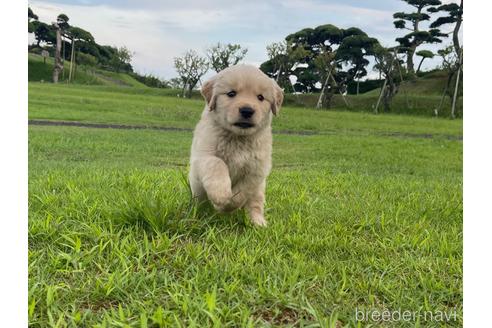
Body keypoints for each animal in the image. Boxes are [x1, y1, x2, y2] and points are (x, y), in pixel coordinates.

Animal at [190, 65, 286, 227]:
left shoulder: (257, 169)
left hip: (259, 190)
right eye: (231, 93)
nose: (247, 110)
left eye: (260, 97)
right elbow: (217, 163)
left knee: (255, 204)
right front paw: (220, 195)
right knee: (200, 202)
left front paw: (228, 204)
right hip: (197, 188)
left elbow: (242, 192)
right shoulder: (203, 155)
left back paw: (258, 223)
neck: (238, 138)